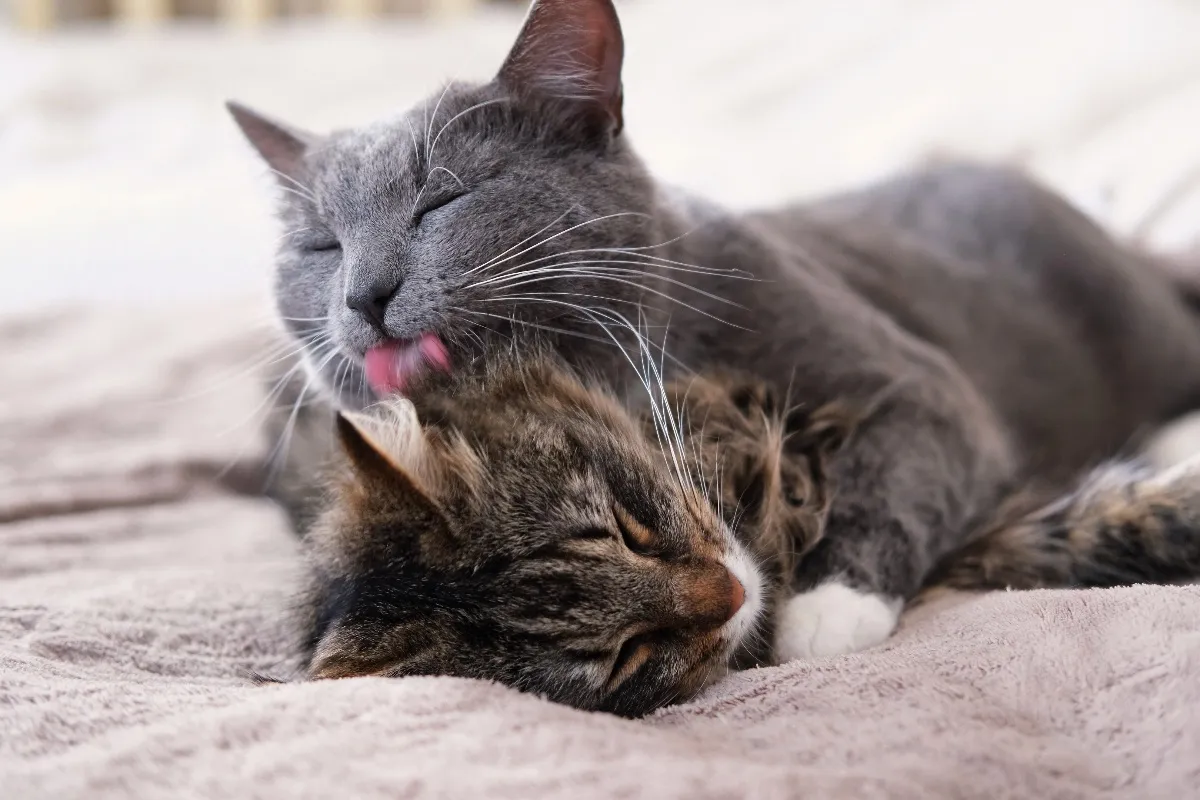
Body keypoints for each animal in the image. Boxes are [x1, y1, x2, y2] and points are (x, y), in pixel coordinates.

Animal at [229, 0, 1200, 662]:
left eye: (442, 202)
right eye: (321, 245)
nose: (364, 294)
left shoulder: (923, 387)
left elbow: (905, 465)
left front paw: (829, 606)